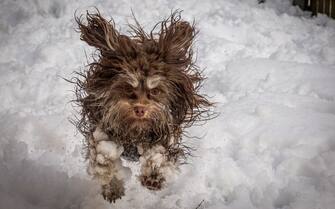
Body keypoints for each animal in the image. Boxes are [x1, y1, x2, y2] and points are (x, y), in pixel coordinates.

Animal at [72, 9, 214, 202]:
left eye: (155, 91)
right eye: (127, 87)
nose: (140, 109)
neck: (135, 130)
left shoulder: (163, 134)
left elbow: (158, 155)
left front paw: (153, 177)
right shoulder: (102, 131)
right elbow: (105, 160)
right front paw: (112, 187)